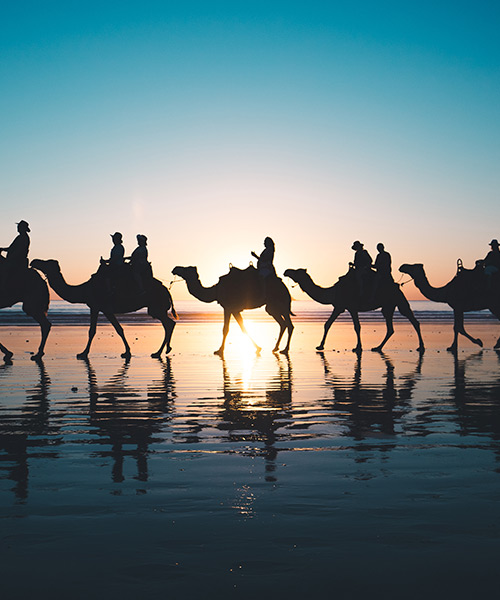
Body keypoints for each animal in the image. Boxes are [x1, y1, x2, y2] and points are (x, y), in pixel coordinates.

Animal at [31, 256, 176, 356]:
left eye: (47, 262)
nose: (34, 261)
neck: (84, 290)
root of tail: (166, 290)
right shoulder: (102, 308)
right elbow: (118, 329)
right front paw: (127, 352)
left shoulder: (98, 307)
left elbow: (94, 331)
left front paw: (83, 353)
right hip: (157, 308)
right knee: (168, 324)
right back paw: (163, 350)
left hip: (156, 307)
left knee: (168, 323)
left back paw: (159, 352)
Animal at [284, 268, 424, 352]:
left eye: (296, 271)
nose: (286, 271)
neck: (333, 292)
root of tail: (398, 286)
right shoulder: (339, 306)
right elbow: (327, 324)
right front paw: (320, 346)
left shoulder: (350, 307)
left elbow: (357, 326)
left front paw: (358, 348)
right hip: (388, 306)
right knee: (391, 328)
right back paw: (377, 347)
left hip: (398, 299)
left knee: (413, 320)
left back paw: (421, 347)